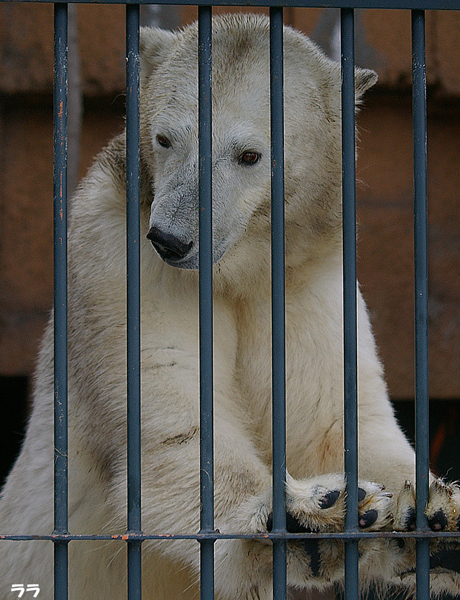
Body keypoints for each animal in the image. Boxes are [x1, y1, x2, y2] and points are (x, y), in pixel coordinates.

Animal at [0, 12, 460, 600]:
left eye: (249, 155)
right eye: (165, 138)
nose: (172, 239)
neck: (237, 266)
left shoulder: (303, 282)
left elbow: (335, 420)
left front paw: (427, 510)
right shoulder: (125, 261)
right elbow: (177, 423)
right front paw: (314, 515)